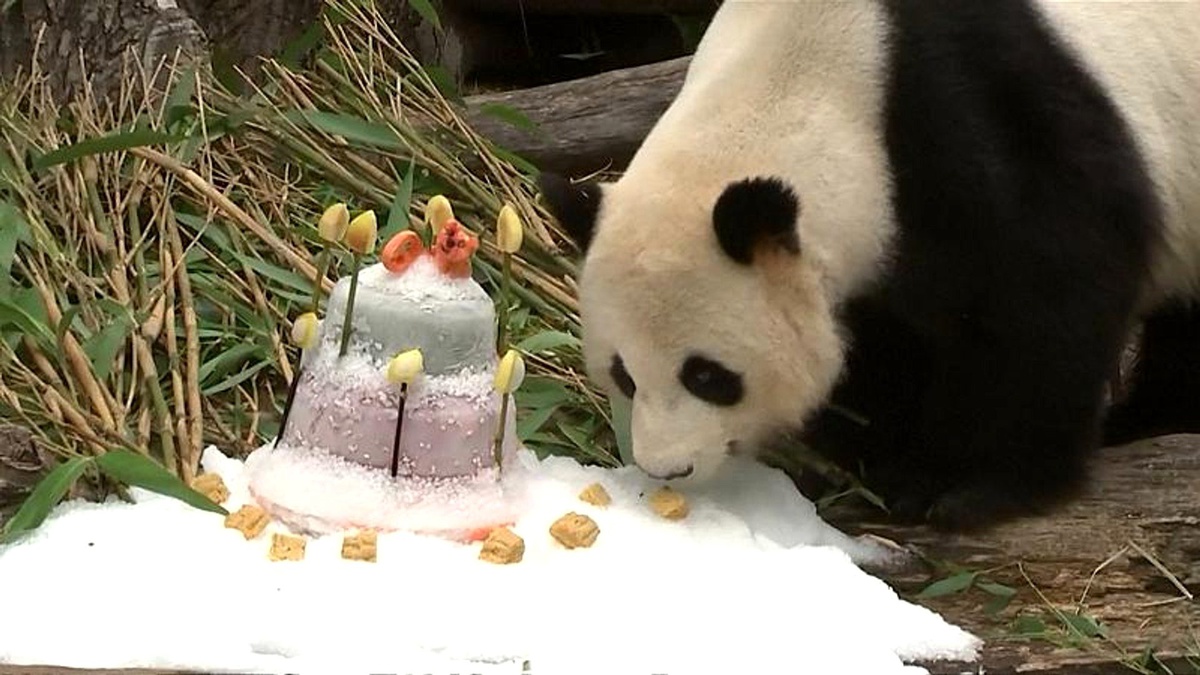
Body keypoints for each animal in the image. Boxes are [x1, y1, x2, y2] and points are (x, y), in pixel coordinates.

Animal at [535, 0, 1200, 532]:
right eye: (624, 374)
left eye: (707, 376)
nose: (667, 468)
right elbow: (879, 354)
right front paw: (888, 465)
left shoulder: (991, 127)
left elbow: (1043, 309)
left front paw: (968, 487)